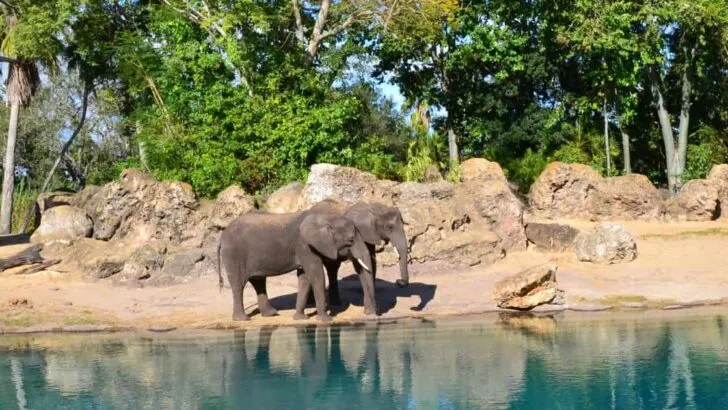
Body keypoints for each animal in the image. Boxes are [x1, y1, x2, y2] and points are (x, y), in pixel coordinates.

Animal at [215, 208, 376, 324]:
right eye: (350, 240)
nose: (370, 314)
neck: (326, 217)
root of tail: (222, 236)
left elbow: (304, 278)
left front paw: (300, 318)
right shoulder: (305, 246)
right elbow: (316, 274)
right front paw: (325, 320)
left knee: (258, 281)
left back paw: (271, 314)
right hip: (234, 254)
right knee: (239, 284)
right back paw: (243, 319)